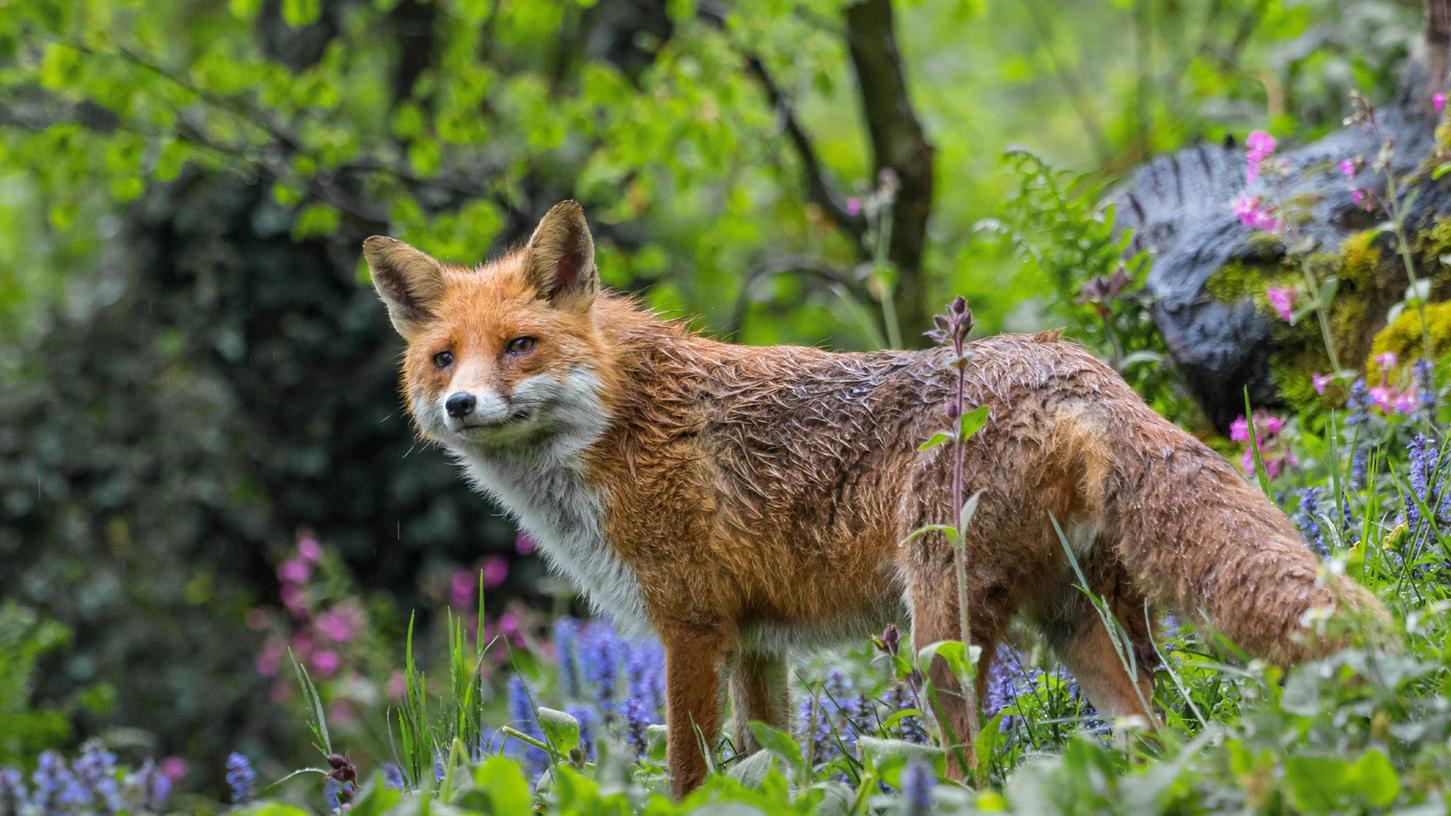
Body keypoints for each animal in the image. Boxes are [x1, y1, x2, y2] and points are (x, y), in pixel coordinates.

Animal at [362, 198, 1381, 795]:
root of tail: (1079, 366)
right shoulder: (756, 644)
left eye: (519, 347)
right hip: (1081, 626)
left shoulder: (691, 628)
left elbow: (690, 777)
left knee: (978, 771)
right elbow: (772, 764)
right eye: (443, 358)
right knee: (1156, 741)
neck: (616, 420)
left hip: (939, 639)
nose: (459, 404)